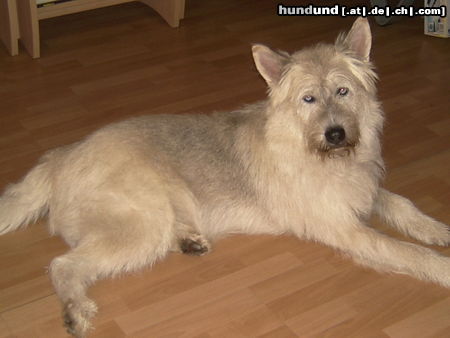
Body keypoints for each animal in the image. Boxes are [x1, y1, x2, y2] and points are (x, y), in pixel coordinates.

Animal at [0, 17, 448, 336]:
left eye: (343, 91)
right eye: (308, 99)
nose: (336, 134)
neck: (325, 156)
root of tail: (59, 157)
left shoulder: (365, 189)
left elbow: (402, 204)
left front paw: (437, 228)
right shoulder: (346, 227)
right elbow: (407, 251)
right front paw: (442, 267)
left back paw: (190, 240)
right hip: (142, 224)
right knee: (63, 265)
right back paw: (75, 309)